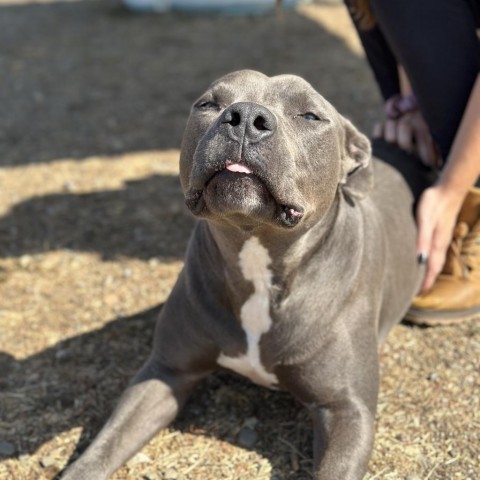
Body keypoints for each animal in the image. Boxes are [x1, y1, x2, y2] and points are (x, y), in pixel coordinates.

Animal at [62, 69, 424, 478]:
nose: (246, 117)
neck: (257, 262)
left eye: (310, 115)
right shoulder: (166, 371)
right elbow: (101, 451)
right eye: (208, 104)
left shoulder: (347, 411)